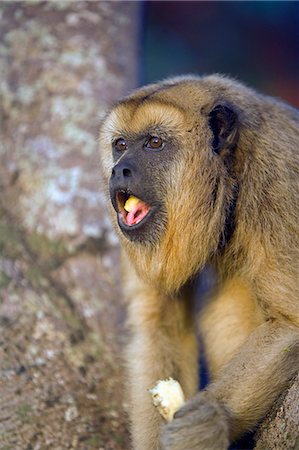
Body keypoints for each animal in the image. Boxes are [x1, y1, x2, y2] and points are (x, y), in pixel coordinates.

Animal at [99, 76, 299, 450]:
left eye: (154, 142)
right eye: (120, 145)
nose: (120, 169)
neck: (227, 174)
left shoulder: (280, 183)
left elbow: (290, 322)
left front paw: (212, 421)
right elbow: (160, 326)